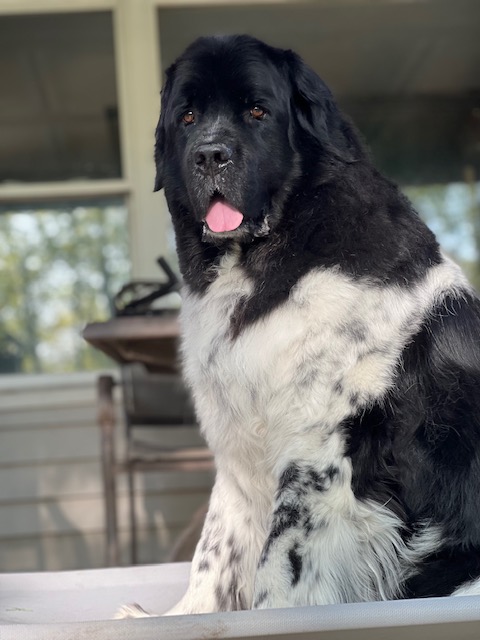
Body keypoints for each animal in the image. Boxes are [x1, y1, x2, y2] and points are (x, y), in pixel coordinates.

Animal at [134, 35, 480, 616]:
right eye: (187, 116)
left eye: (257, 111)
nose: (210, 154)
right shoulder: (238, 455)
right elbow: (215, 550)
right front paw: (181, 617)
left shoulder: (318, 452)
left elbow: (280, 563)